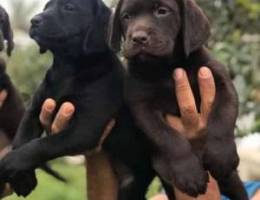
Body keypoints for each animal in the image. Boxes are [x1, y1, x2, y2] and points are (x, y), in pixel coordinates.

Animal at [0, 0, 164, 199]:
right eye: (46, 7)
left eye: (69, 7)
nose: (34, 20)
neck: (68, 70)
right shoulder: (34, 110)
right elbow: (22, 138)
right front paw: (23, 179)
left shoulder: (85, 129)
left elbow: (43, 144)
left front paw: (10, 161)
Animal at [109, 0, 248, 198]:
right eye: (126, 17)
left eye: (162, 11)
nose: (138, 38)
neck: (166, 68)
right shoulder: (142, 107)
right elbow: (169, 138)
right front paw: (189, 173)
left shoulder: (221, 82)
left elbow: (222, 116)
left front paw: (221, 155)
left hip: (233, 181)